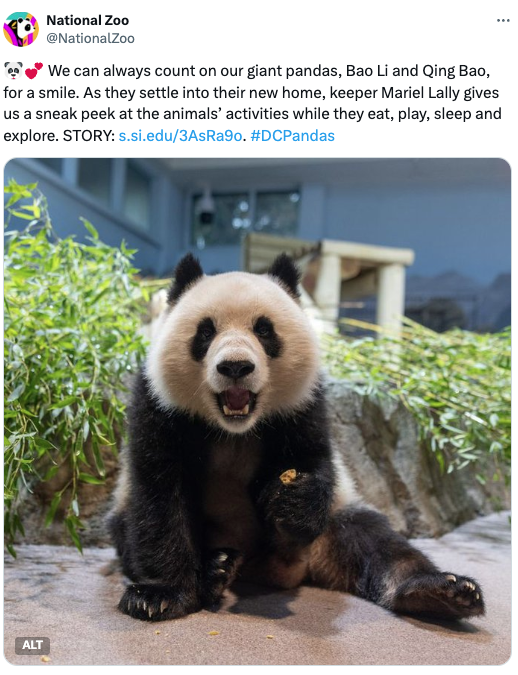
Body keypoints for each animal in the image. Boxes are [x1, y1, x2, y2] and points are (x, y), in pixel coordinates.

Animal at [108, 253, 484, 622]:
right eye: (205, 331)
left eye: (264, 329)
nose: (235, 367)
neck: (233, 429)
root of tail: (284, 569)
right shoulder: (159, 407)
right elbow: (160, 496)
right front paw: (159, 595)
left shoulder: (304, 405)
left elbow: (314, 458)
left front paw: (292, 499)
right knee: (125, 528)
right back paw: (216, 570)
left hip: (332, 527)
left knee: (376, 541)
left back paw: (440, 592)